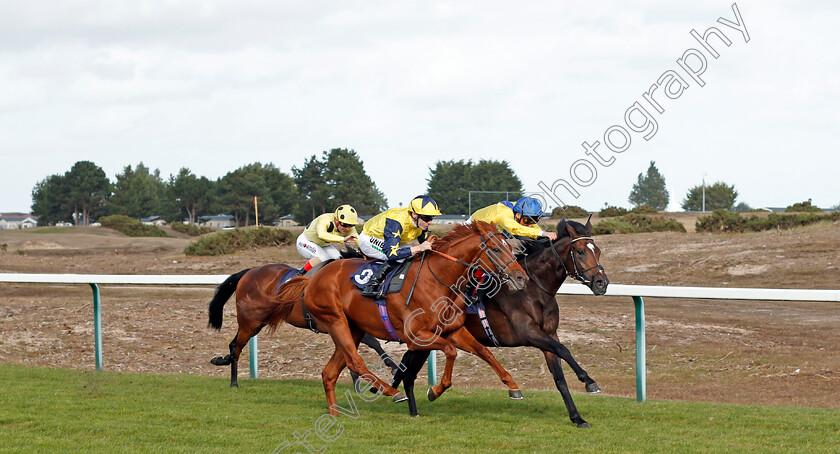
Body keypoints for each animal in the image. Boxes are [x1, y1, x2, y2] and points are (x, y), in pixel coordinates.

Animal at [264, 222, 524, 416]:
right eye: (496, 249)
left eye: (509, 246)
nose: (521, 277)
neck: (437, 281)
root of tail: (312, 280)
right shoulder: (415, 337)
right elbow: (450, 351)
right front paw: (435, 390)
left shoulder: (453, 330)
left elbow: (484, 351)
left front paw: (513, 387)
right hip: (335, 320)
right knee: (356, 362)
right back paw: (391, 392)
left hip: (352, 328)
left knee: (330, 372)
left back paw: (335, 413)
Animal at [390, 218, 608, 428]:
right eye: (580, 251)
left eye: (597, 251)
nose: (602, 283)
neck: (534, 289)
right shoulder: (529, 333)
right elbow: (563, 350)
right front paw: (589, 381)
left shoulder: (549, 334)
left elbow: (559, 378)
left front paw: (577, 418)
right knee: (406, 372)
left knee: (407, 372)